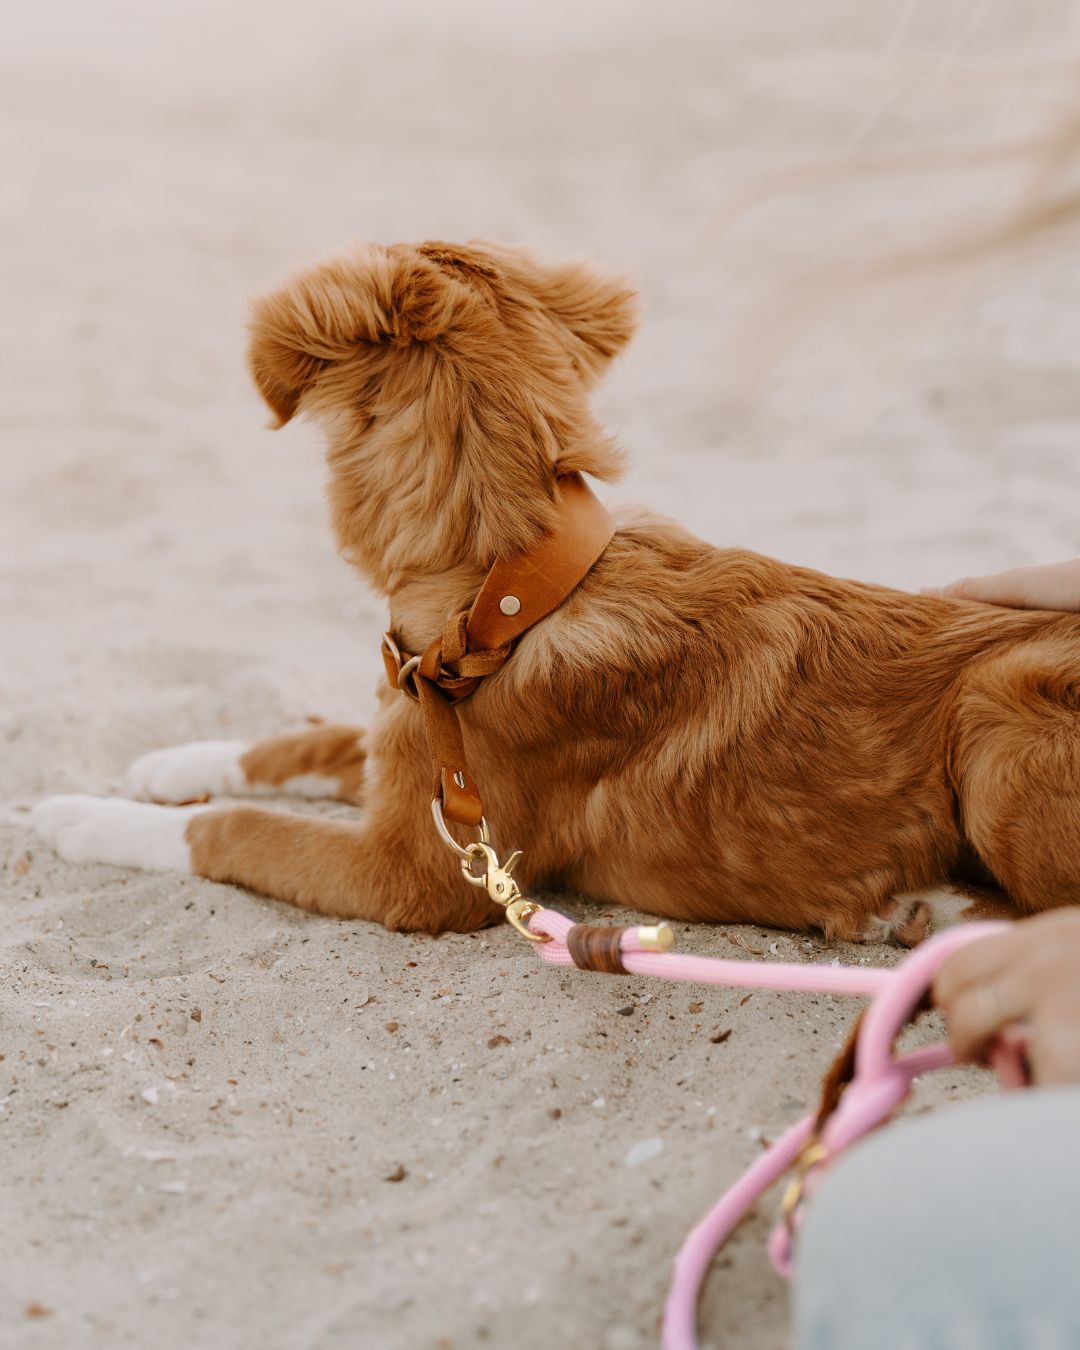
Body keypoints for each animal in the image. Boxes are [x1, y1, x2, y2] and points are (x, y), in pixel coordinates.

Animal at [31, 240, 1080, 939]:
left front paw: (84, 817)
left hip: (999, 717)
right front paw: (174, 760)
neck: (507, 598)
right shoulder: (412, 753)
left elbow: (234, 829)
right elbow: (310, 740)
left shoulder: (413, 878)